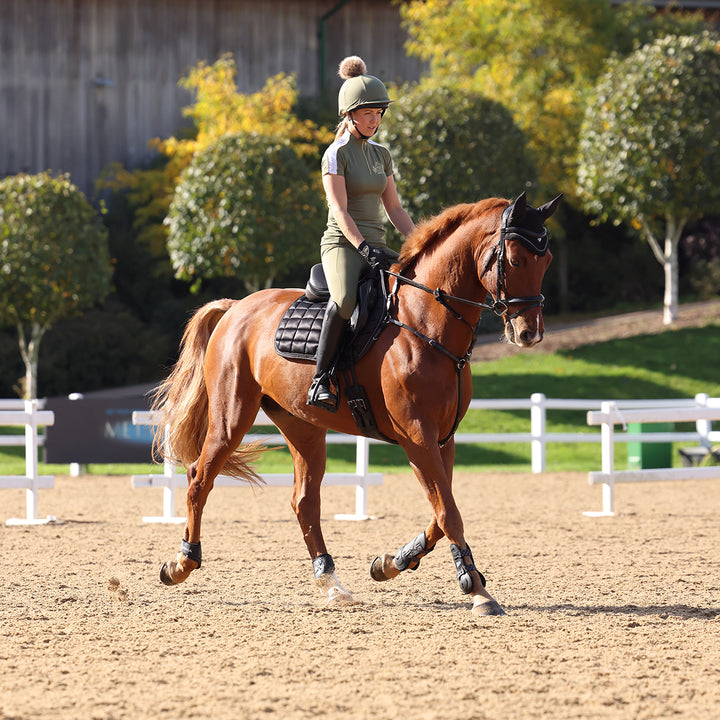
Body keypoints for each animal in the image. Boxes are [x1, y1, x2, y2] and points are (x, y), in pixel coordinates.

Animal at [152, 194, 560, 616]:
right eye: (515, 261)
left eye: (545, 261)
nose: (530, 333)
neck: (425, 324)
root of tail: (236, 307)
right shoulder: (418, 438)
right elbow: (449, 512)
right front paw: (477, 589)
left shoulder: (442, 439)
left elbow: (439, 513)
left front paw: (393, 562)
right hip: (231, 417)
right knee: (199, 479)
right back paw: (181, 563)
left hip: (303, 427)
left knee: (303, 501)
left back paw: (331, 583)